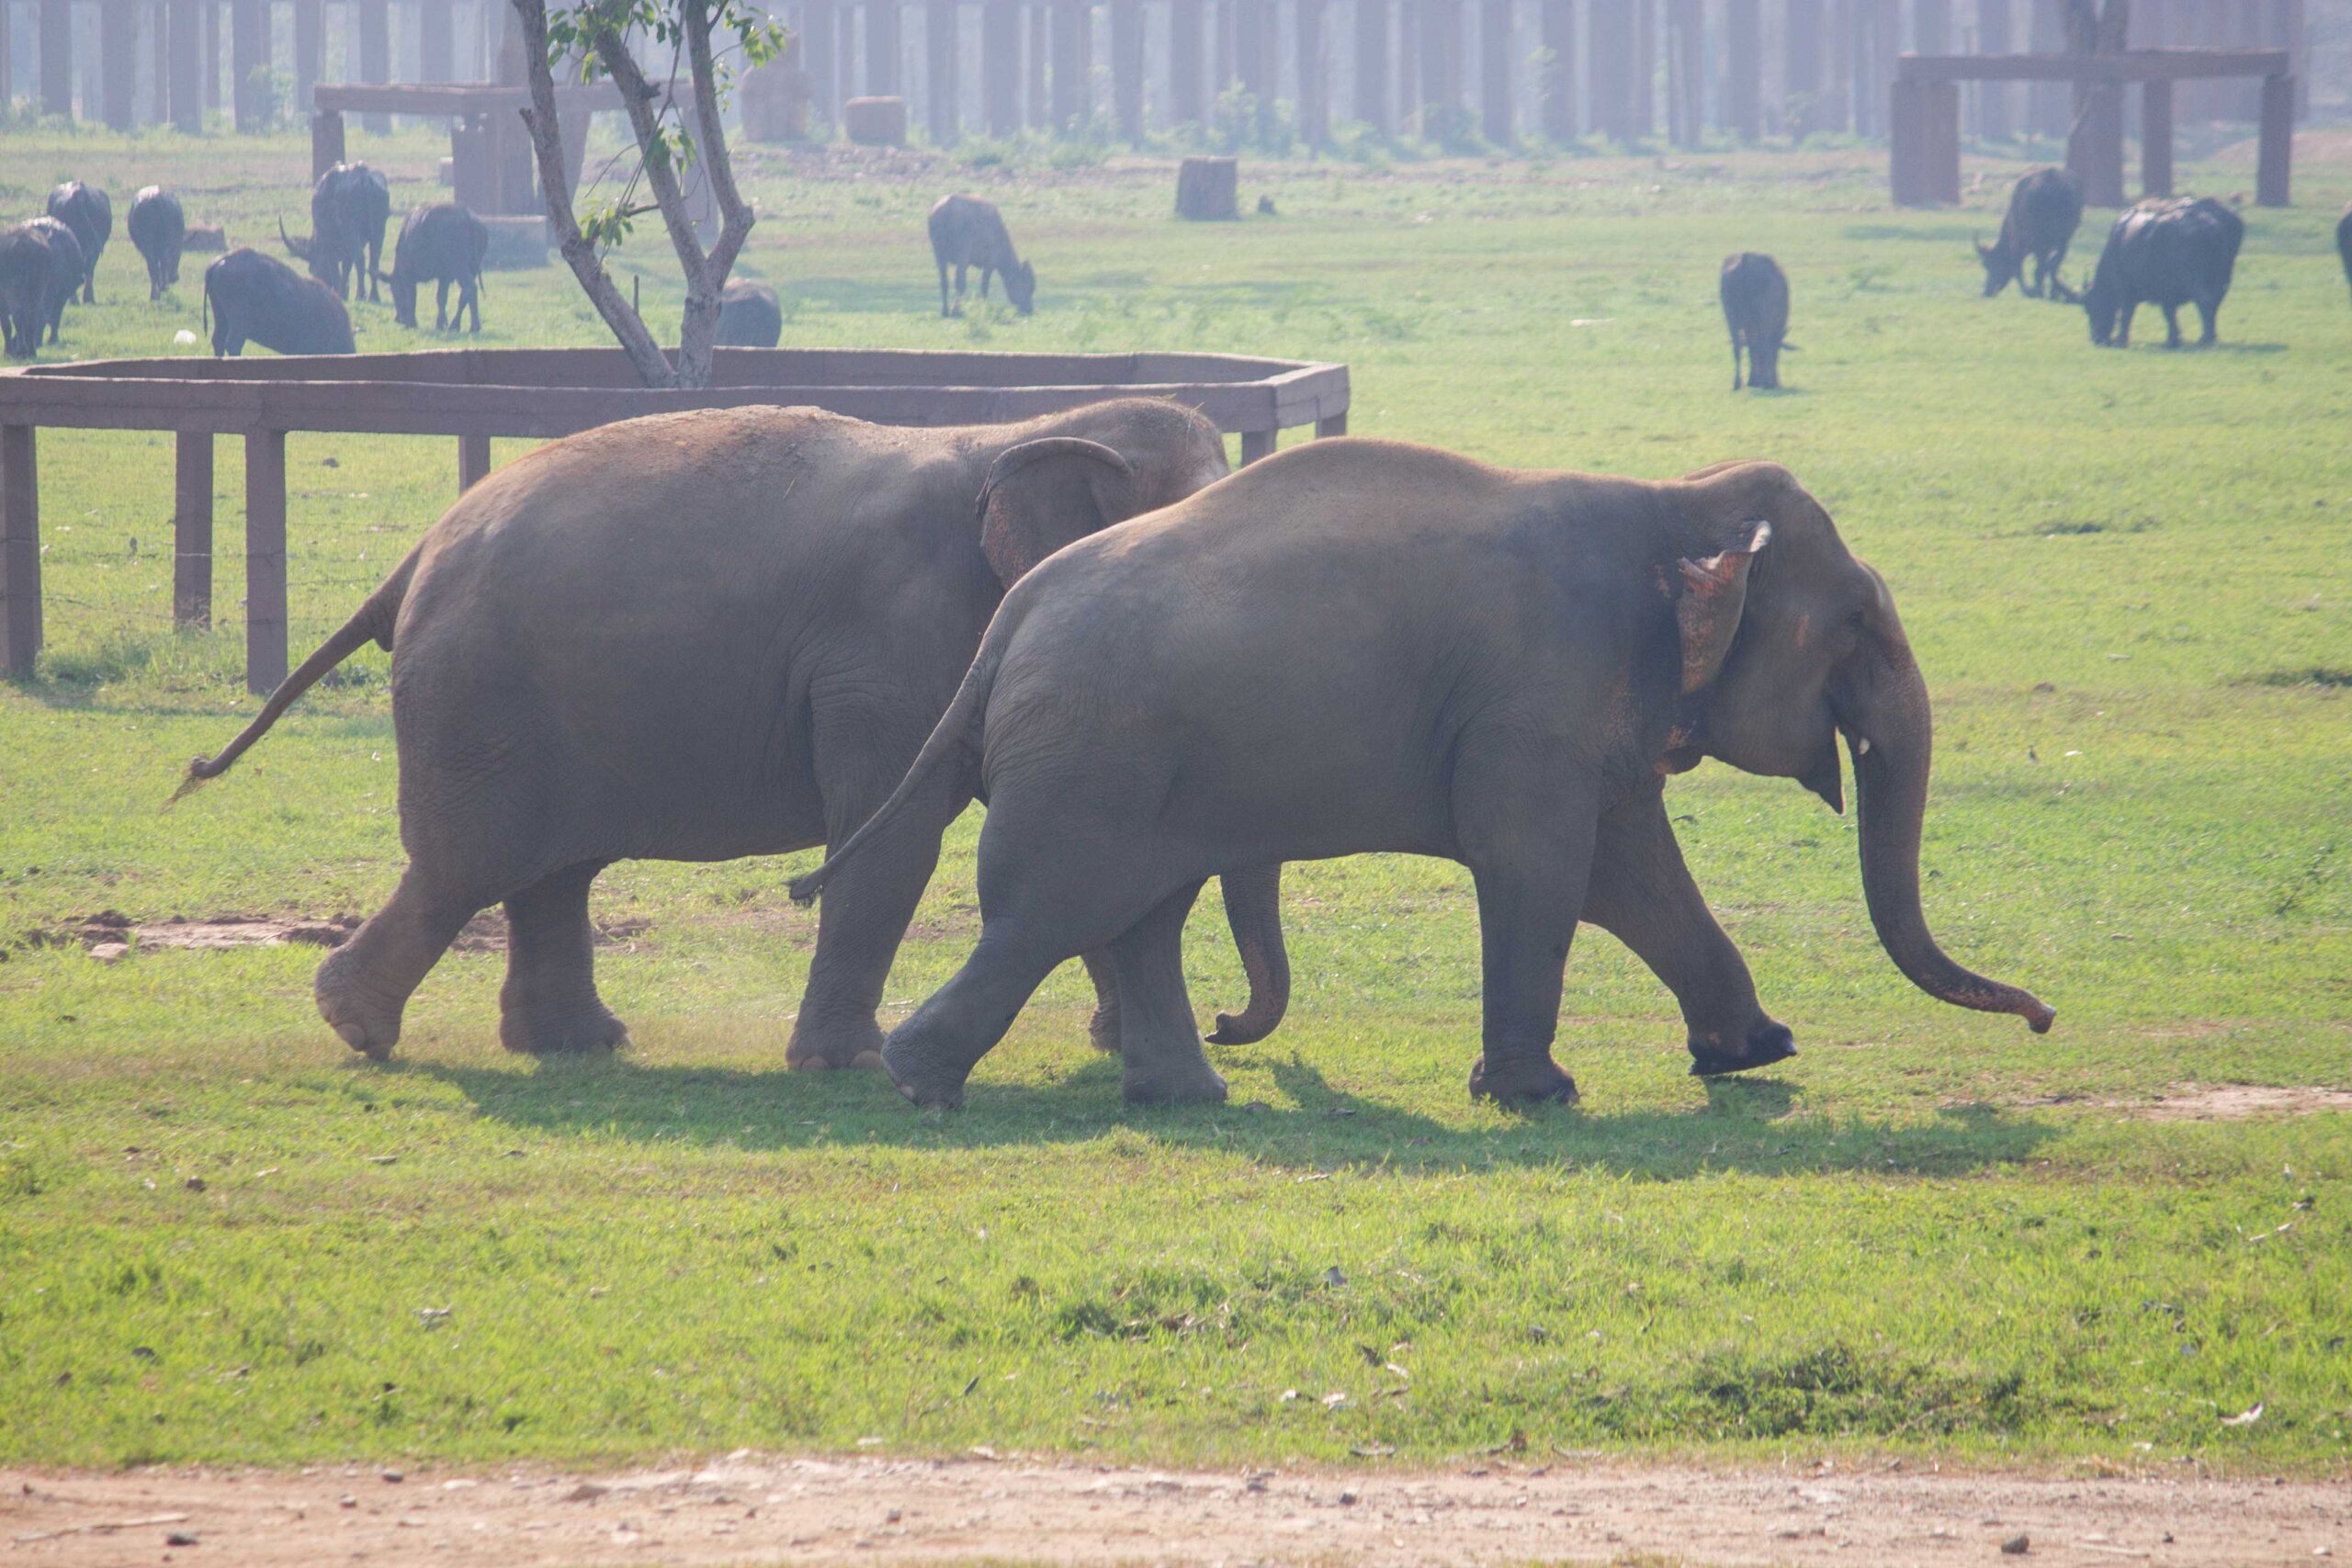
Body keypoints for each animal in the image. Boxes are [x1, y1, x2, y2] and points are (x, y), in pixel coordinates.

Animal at [178, 398, 1285, 1066]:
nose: (1230, 1023)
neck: (1032, 425)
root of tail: (412, 557)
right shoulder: (887, 653)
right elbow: (891, 843)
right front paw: (844, 1065)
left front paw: (1110, 1040)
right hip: (478, 700)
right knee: (472, 865)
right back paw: (357, 1026)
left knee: (550, 872)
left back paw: (577, 1045)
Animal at [790, 439, 2054, 1110]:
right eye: (1855, 626)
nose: (2043, 1018)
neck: (1673, 498)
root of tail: (1008, 620)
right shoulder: (1537, 692)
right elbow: (1540, 863)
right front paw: (1537, 1096)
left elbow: (1630, 870)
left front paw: (1754, 1052)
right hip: (1087, 761)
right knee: (1048, 912)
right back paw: (919, 1085)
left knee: (1133, 917)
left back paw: (1189, 1096)